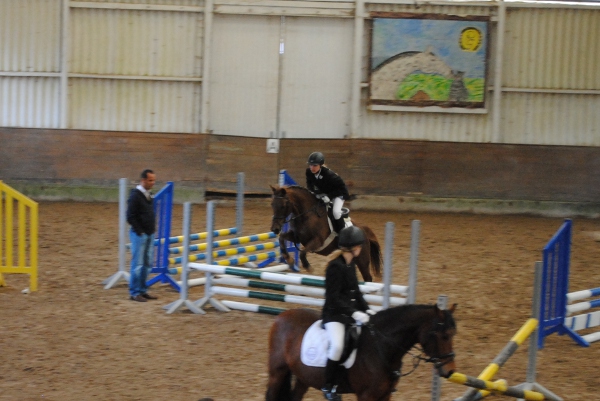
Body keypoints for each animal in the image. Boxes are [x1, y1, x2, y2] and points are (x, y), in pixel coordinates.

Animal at [265, 303, 457, 401]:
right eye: (443, 336)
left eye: (453, 334)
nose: (450, 371)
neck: (381, 348)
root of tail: (282, 316)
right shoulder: (366, 395)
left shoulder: (385, 395)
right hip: (278, 372)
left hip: (303, 377)